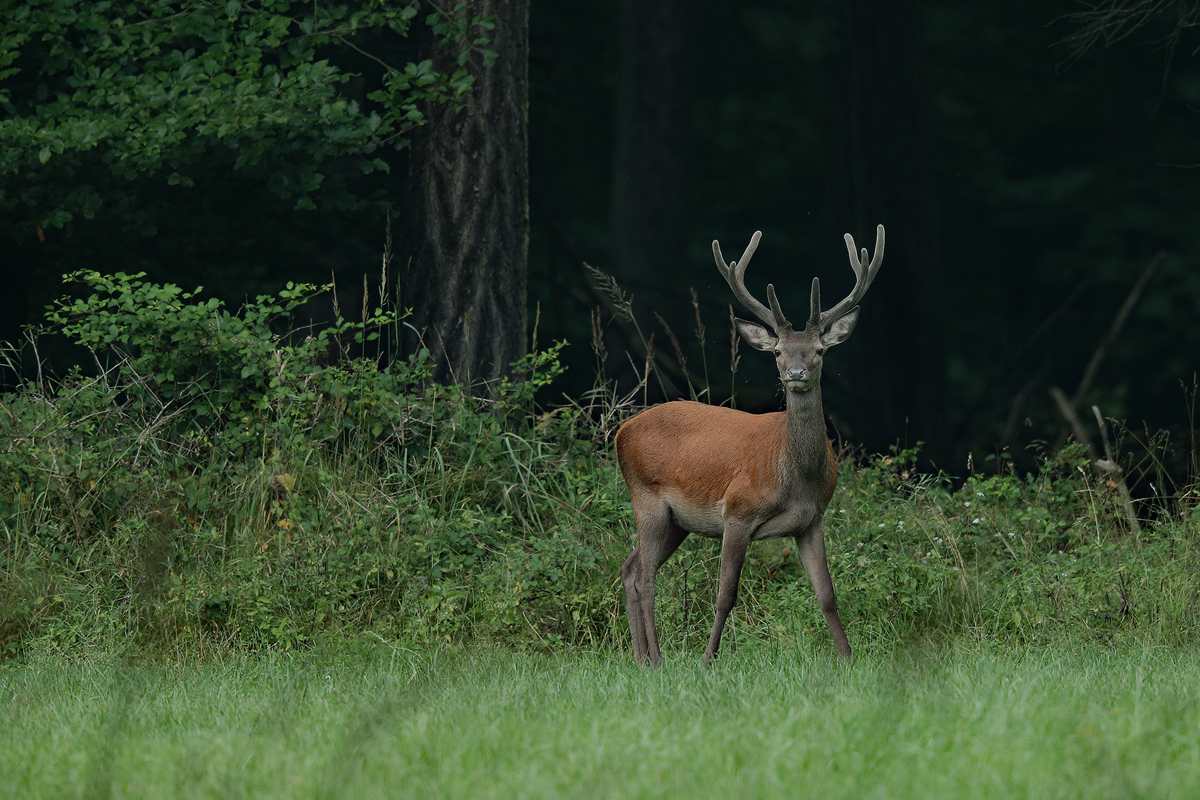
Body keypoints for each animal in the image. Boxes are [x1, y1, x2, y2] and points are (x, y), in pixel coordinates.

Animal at [619, 221, 883, 666]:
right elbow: (726, 595)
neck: (795, 476)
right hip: (647, 496)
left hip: (676, 521)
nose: (795, 372)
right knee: (644, 575)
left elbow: (827, 595)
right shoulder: (738, 512)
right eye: (777, 350)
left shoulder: (811, 520)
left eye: (819, 350)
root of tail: (622, 431)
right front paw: (708, 660)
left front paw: (848, 658)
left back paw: (641, 659)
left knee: (630, 566)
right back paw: (655, 659)